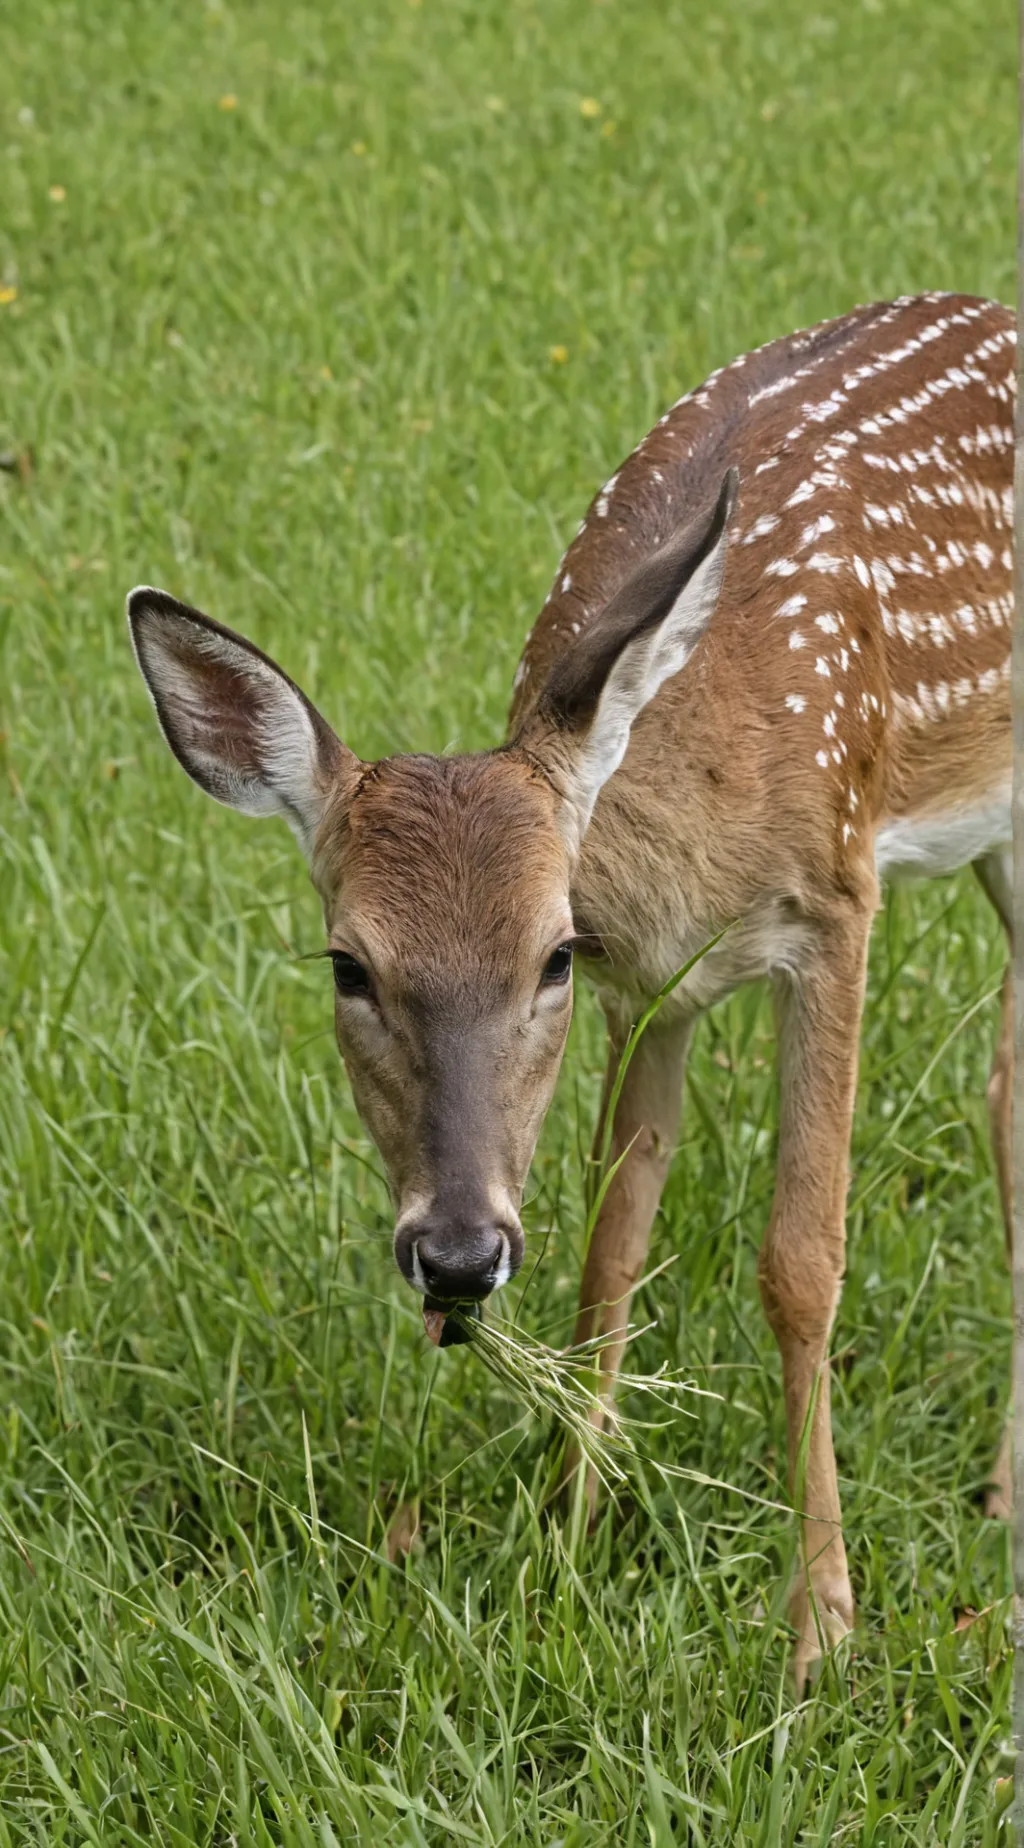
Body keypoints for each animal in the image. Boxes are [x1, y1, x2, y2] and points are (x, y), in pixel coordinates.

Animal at [127, 291, 1015, 1686]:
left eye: (549, 951)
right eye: (350, 965)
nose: (455, 1253)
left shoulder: (836, 901)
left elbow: (801, 1260)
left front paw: (820, 1623)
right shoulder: (654, 989)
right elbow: (613, 1246)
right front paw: (564, 1537)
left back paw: (998, 1497)